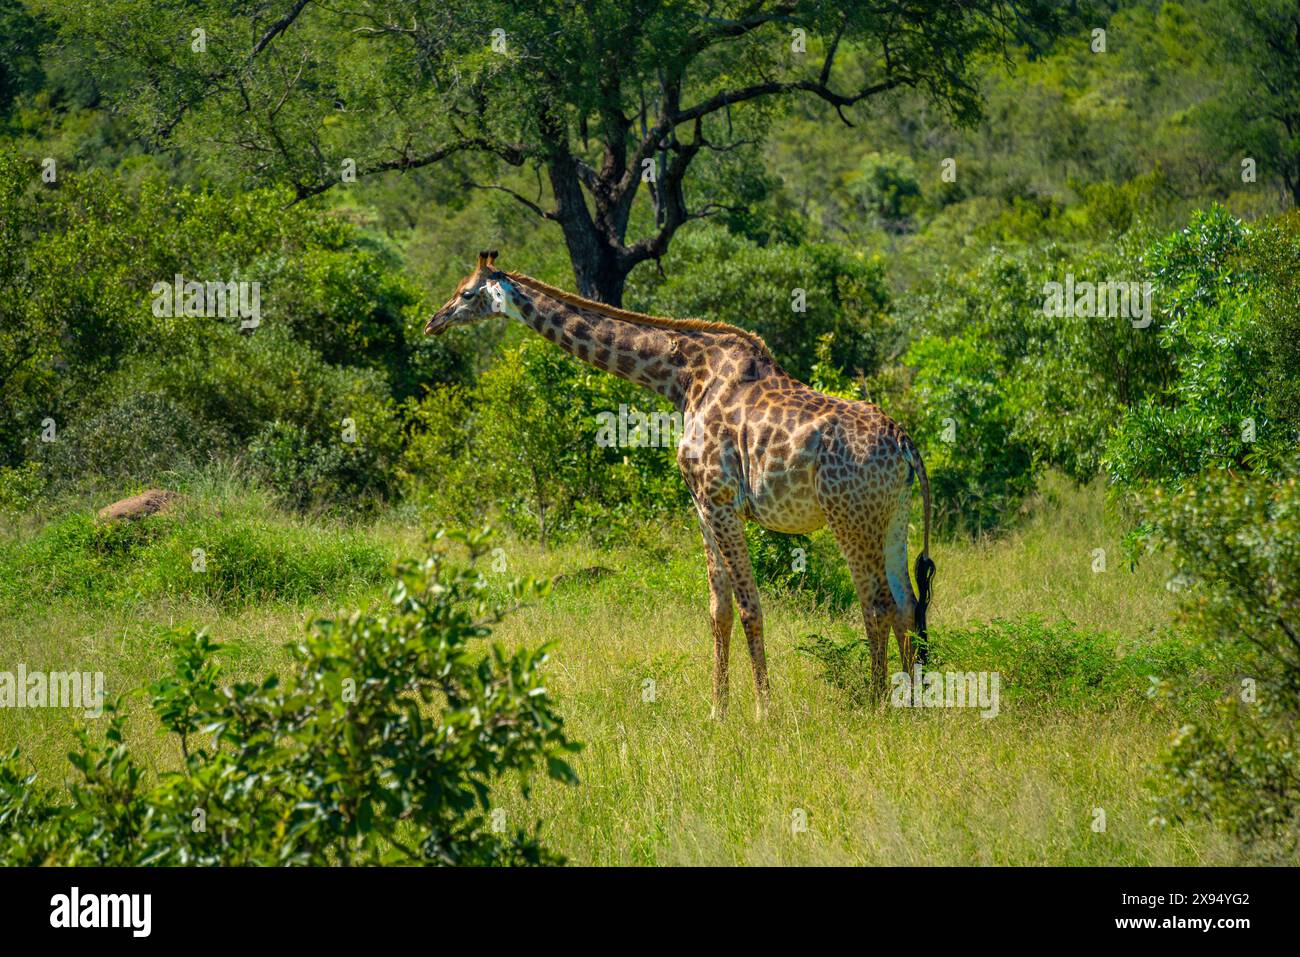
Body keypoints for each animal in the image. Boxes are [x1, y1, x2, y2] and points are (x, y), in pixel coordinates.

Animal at [426, 251, 935, 718]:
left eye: (466, 293)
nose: (433, 322)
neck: (682, 378)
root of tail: (905, 444)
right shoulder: (702, 506)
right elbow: (719, 609)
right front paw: (718, 709)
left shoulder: (719, 499)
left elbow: (749, 606)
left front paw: (764, 710)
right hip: (893, 514)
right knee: (907, 602)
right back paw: (911, 703)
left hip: (848, 515)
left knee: (877, 603)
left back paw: (876, 705)